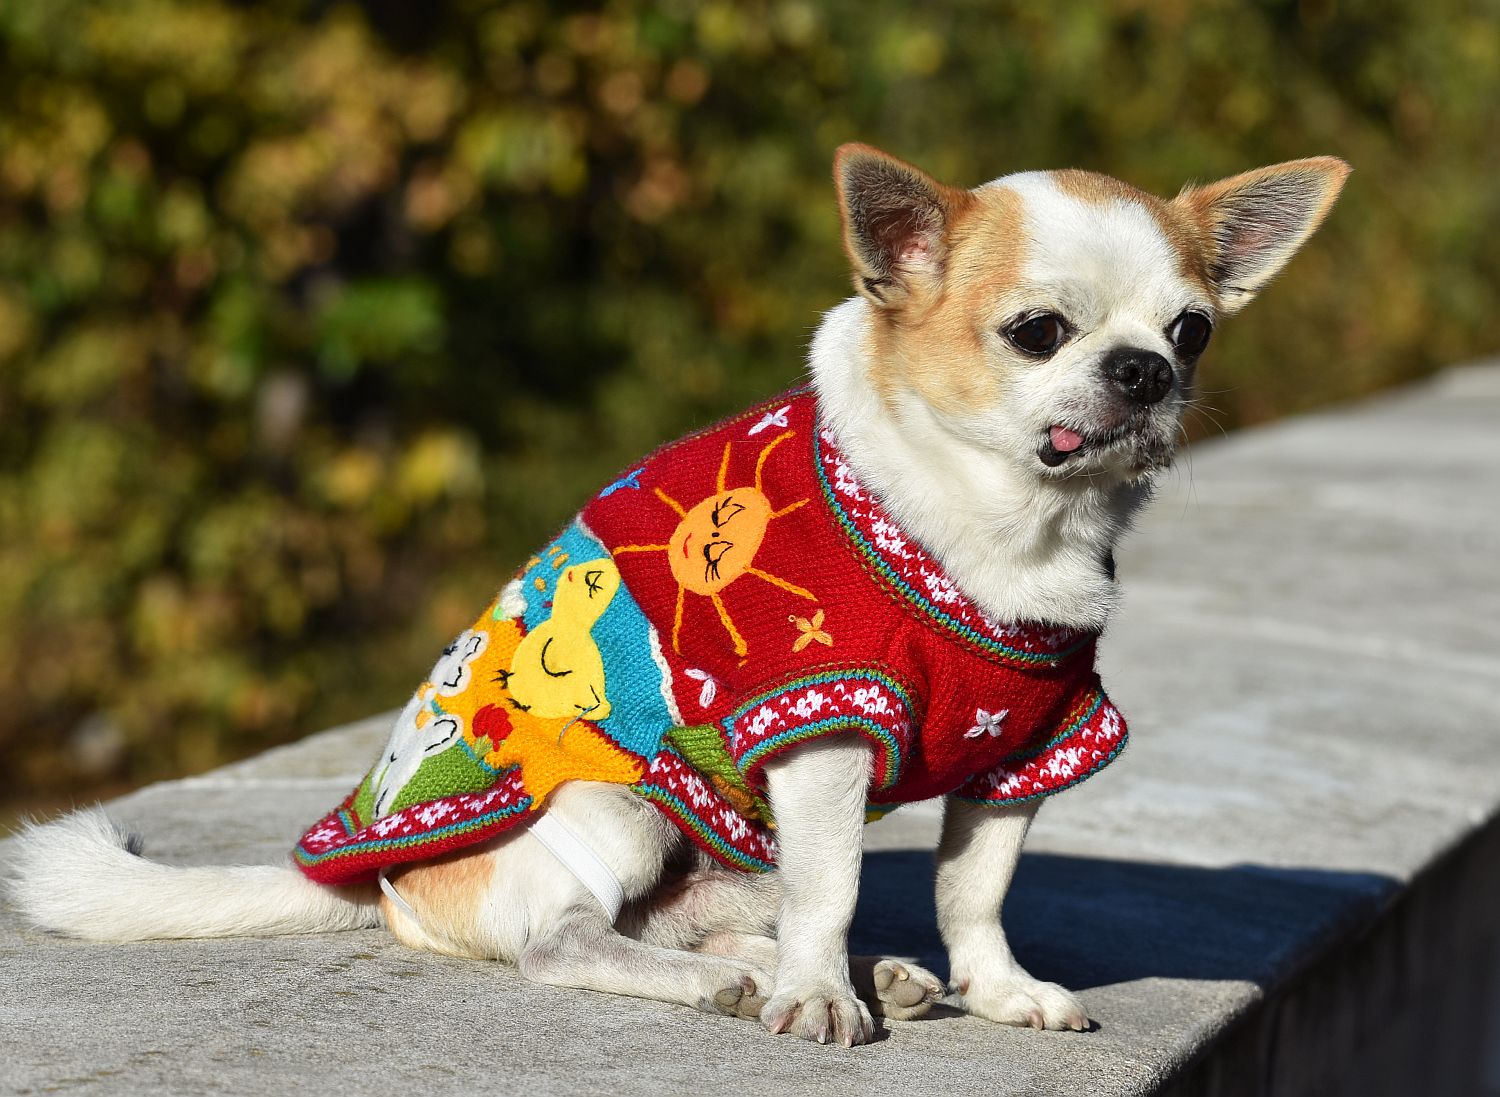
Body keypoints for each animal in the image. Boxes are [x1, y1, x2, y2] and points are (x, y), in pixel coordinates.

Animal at [7, 144, 1347, 1047]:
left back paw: (866, 970)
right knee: (565, 936)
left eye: (1192, 329)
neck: (1005, 530)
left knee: (732, 914)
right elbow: (835, 884)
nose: (1144, 371)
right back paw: (741, 980)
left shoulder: (1025, 748)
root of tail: (376, 879)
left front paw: (994, 984)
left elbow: (975, 888)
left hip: (726, 846)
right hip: (620, 795)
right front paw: (819, 999)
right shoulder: (822, 734)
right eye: (1036, 330)